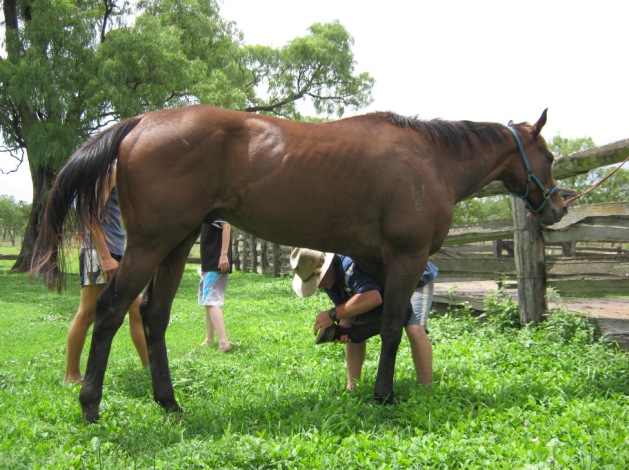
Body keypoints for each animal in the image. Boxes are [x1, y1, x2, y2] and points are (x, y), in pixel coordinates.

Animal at [31, 104, 568, 420]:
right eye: (551, 156)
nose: (559, 207)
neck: (431, 161)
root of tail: (141, 122)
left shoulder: (376, 265)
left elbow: (374, 324)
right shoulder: (406, 258)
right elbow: (393, 326)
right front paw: (385, 396)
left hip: (176, 243)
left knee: (153, 314)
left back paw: (169, 402)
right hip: (150, 244)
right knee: (111, 312)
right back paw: (91, 405)